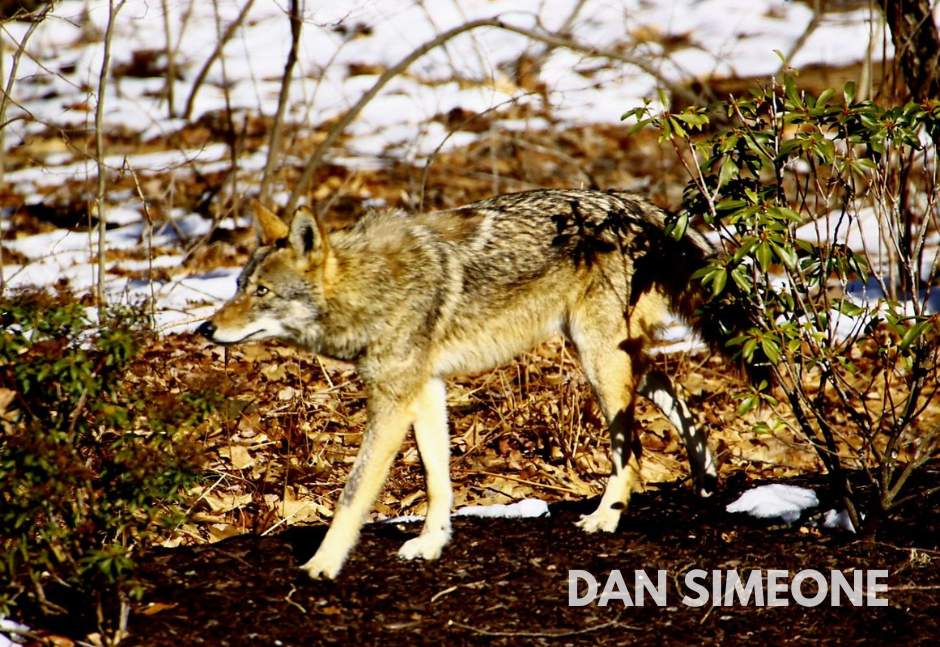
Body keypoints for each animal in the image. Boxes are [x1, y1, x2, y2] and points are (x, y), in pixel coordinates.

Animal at [198, 189, 756, 580]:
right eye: (237, 287)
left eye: (262, 292)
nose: (206, 328)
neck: (369, 285)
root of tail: (634, 204)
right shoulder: (425, 389)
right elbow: (436, 479)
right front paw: (432, 543)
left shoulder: (392, 401)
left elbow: (353, 494)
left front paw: (323, 564)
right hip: (606, 357)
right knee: (675, 397)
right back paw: (705, 477)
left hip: (600, 361)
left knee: (632, 452)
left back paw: (607, 518)